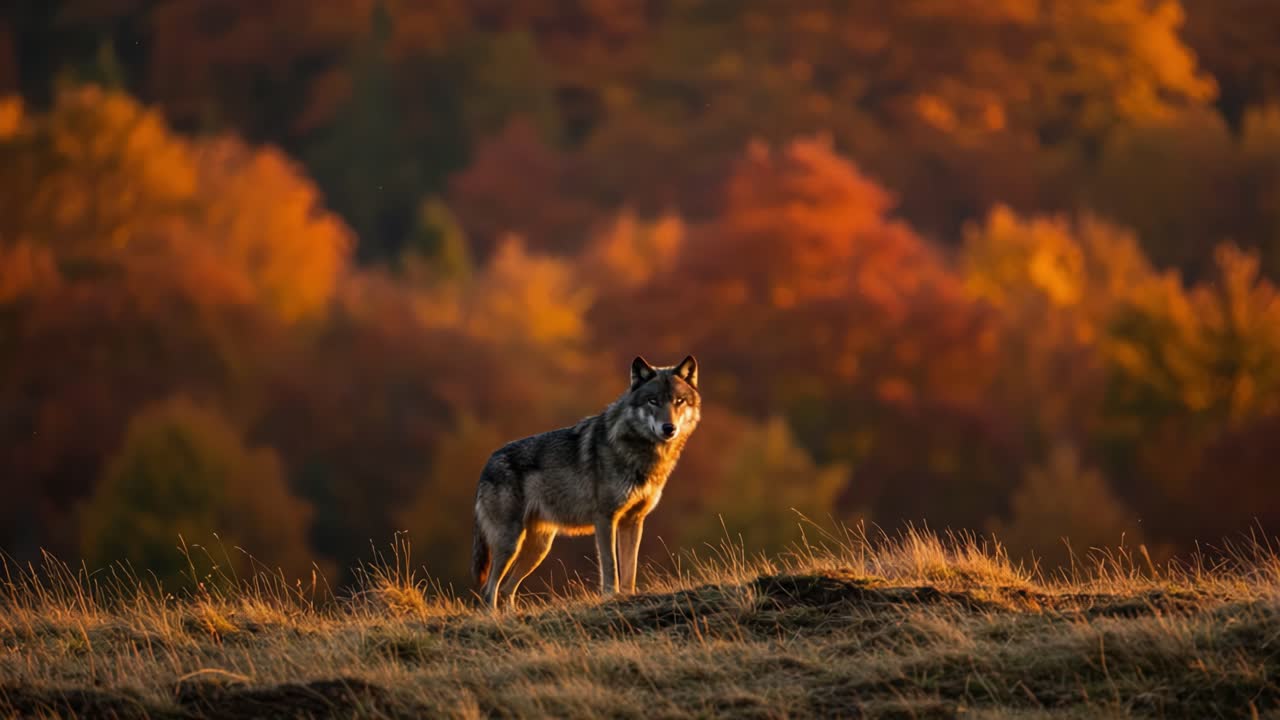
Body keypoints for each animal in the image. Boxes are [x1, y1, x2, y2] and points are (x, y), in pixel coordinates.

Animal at [471, 355, 701, 609]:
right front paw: (610, 597)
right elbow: (610, 566)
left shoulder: (633, 521)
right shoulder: (605, 518)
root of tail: (487, 463)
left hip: (538, 548)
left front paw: (628, 596)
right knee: (489, 589)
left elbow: (629, 568)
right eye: (653, 401)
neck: (641, 452)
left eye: (679, 401)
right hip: (510, 543)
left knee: (506, 589)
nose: (669, 428)